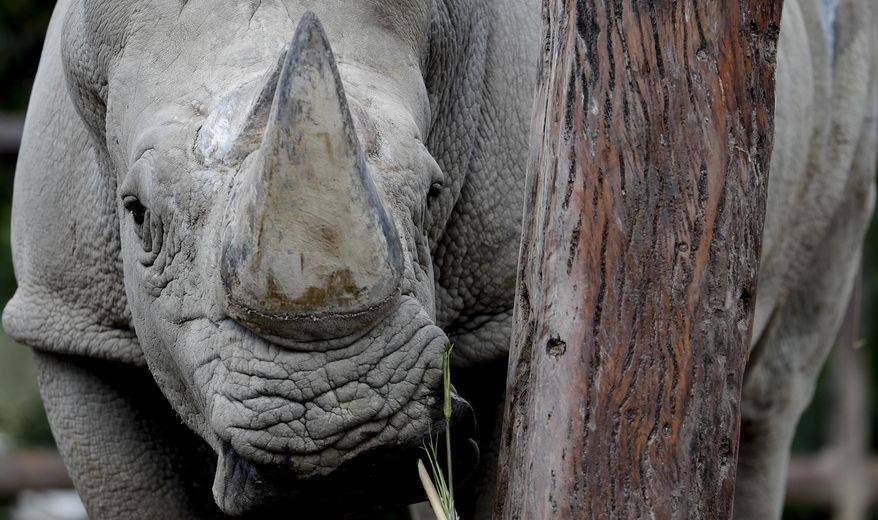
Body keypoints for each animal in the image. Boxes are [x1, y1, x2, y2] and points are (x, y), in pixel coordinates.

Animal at [2, 0, 875, 518]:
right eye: (137, 217)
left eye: (432, 193)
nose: (344, 436)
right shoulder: (69, 317)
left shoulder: (496, 312)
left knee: (773, 391)